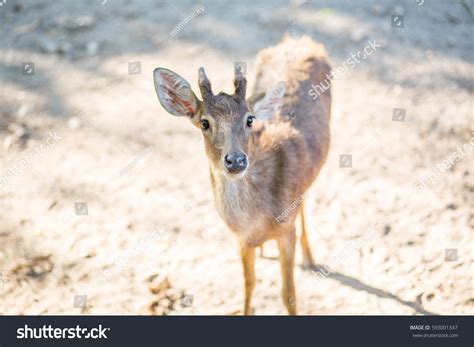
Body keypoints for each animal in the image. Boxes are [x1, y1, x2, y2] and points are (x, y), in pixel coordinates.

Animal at [154, 35, 332, 316]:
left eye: (249, 119)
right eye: (204, 122)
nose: (236, 160)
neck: (254, 220)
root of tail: (302, 40)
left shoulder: (286, 231)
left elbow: (289, 294)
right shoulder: (240, 239)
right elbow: (249, 284)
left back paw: (310, 259)